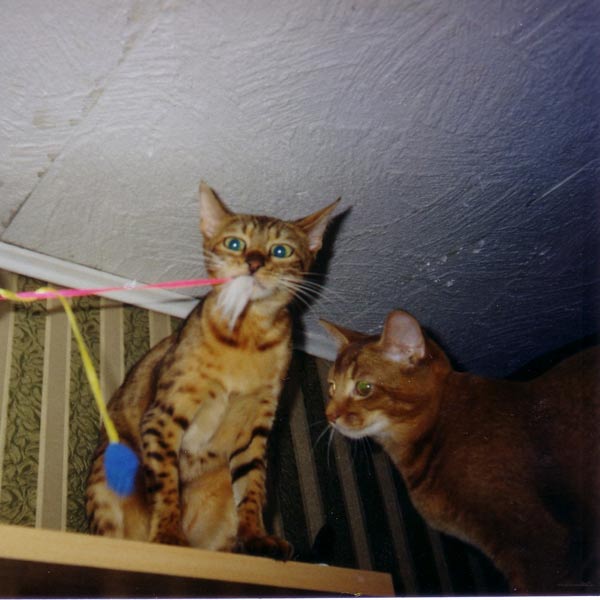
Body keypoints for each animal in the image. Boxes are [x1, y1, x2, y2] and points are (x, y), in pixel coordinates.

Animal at [86, 181, 338, 558]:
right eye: (235, 243)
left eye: (280, 250)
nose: (253, 262)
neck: (247, 338)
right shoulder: (166, 412)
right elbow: (165, 484)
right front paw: (168, 534)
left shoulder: (256, 425)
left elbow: (252, 489)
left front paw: (258, 536)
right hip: (107, 471)